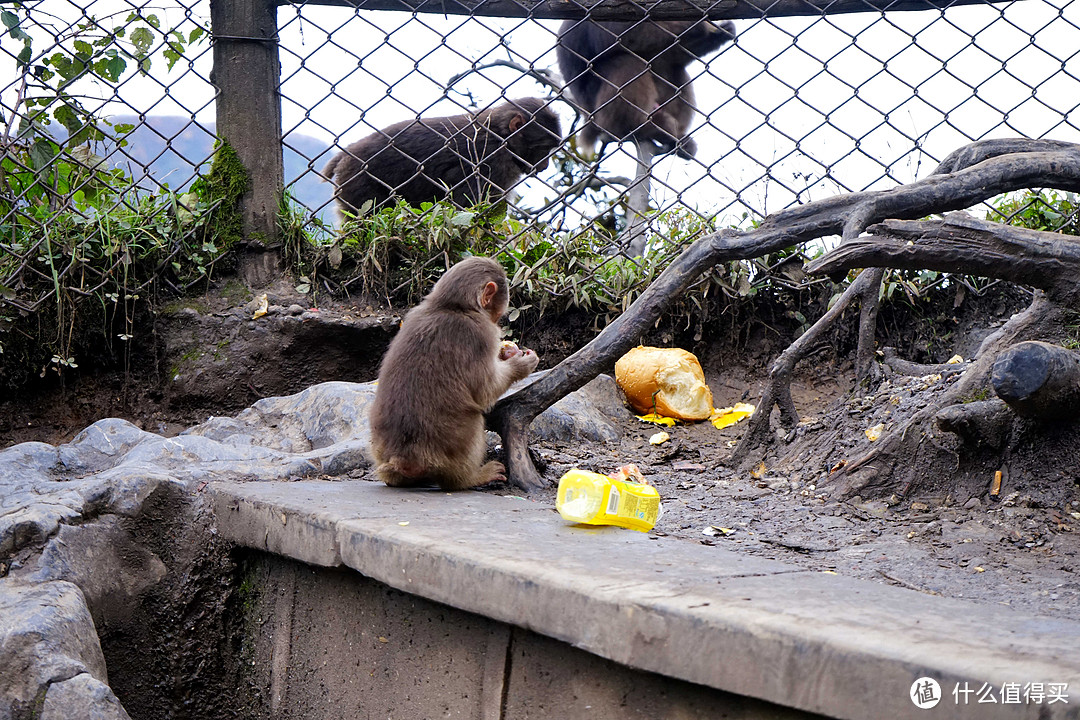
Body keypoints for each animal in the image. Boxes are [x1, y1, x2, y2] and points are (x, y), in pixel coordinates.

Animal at [319, 97, 561, 213]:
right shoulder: (492, 164)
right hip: (357, 181)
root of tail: (348, 153)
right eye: (544, 149)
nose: (545, 165)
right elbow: (468, 208)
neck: (499, 135)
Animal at [557, 19, 734, 158]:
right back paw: (639, 127)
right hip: (599, 113)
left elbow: (671, 53)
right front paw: (698, 26)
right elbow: (617, 34)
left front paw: (718, 33)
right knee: (626, 62)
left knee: (671, 67)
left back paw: (675, 137)